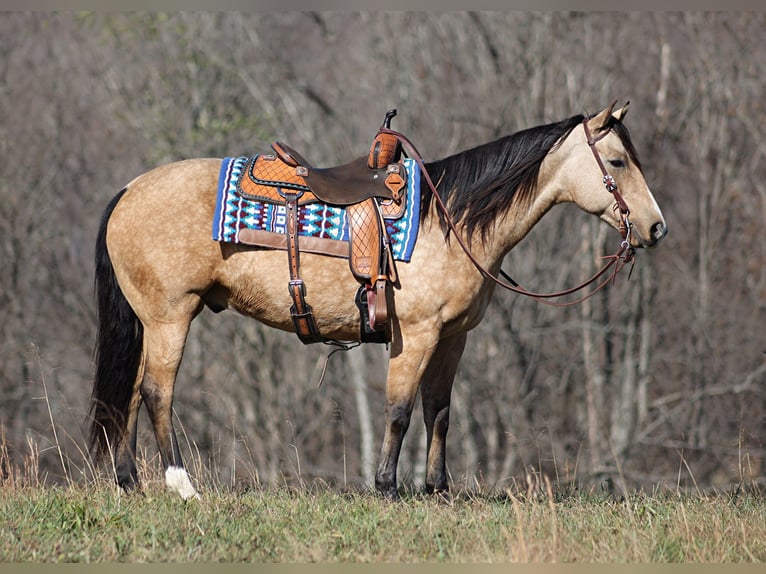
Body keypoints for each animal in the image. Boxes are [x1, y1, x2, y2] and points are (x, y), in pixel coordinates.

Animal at [88, 102, 664, 500]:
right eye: (616, 161)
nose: (656, 227)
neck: (450, 220)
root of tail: (129, 190)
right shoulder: (417, 334)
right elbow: (400, 410)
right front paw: (387, 486)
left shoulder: (453, 338)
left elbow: (439, 412)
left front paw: (438, 489)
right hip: (170, 316)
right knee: (157, 392)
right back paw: (181, 485)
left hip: (150, 321)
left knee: (132, 393)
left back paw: (128, 480)